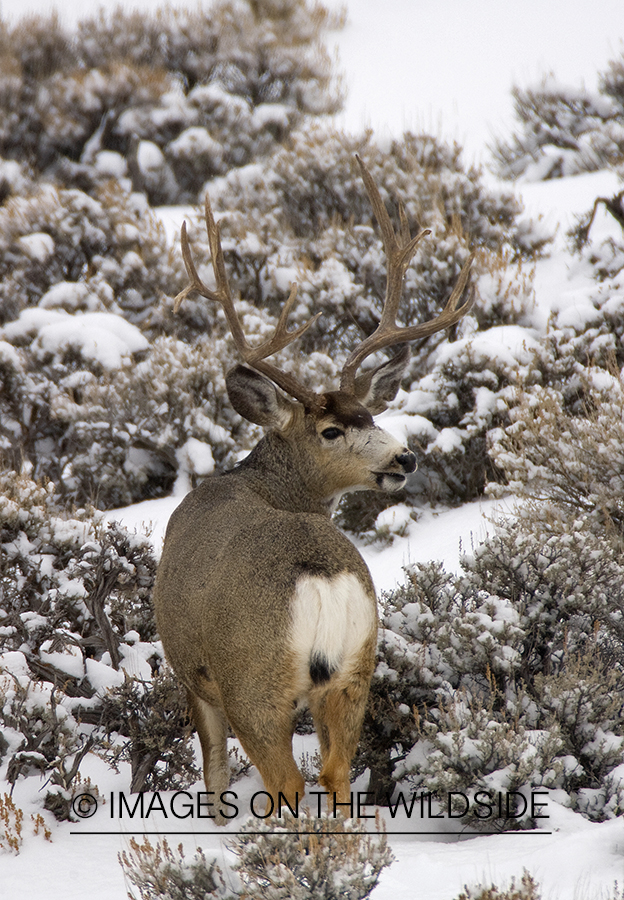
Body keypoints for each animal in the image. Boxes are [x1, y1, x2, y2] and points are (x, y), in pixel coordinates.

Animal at [152, 155, 474, 823]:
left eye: (369, 417)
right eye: (334, 428)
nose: (405, 456)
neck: (261, 482)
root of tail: (321, 577)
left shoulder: (193, 671)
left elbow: (214, 776)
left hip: (255, 684)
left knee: (289, 786)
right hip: (356, 670)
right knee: (336, 776)